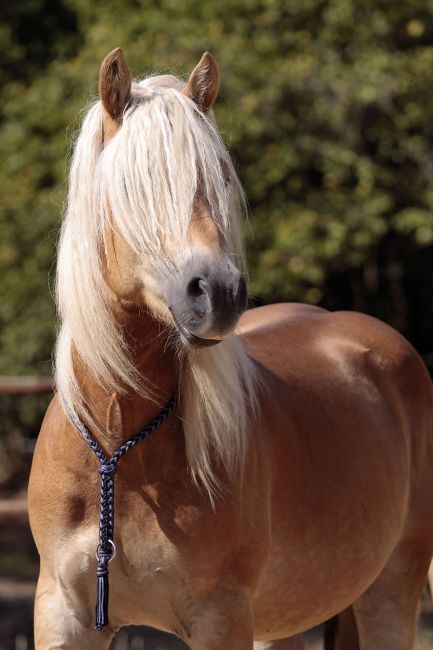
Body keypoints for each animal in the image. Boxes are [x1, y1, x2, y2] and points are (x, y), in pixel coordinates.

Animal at [28, 46, 432, 648]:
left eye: (218, 175)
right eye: (135, 185)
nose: (218, 292)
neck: (117, 448)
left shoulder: (220, 616)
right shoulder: (63, 614)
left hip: (393, 585)